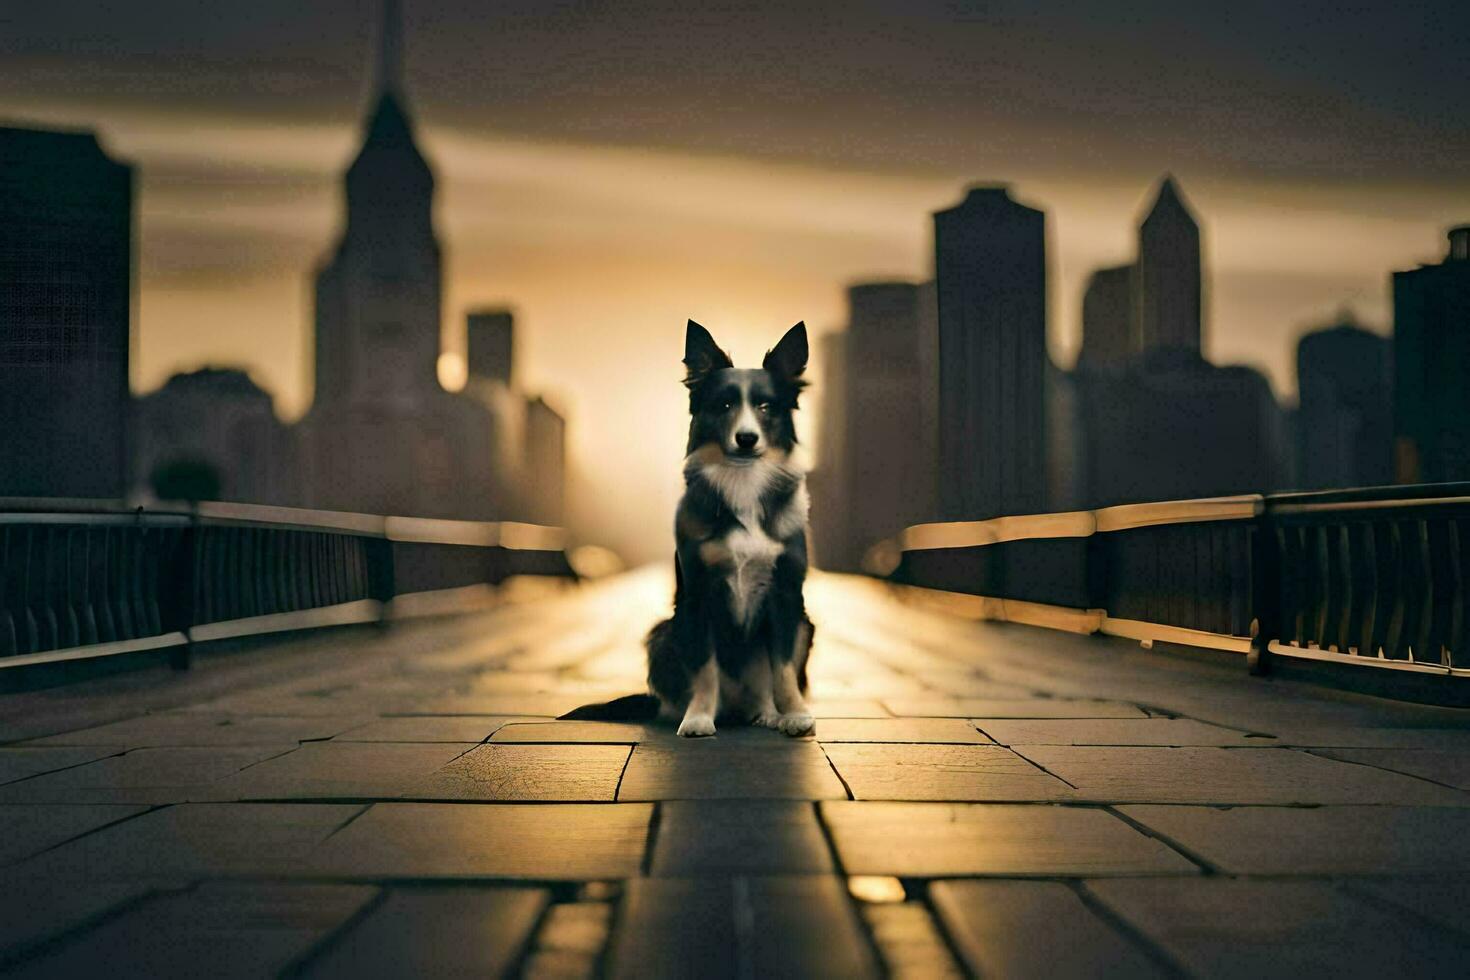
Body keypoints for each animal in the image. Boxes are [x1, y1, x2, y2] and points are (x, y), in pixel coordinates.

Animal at [561, 321, 817, 734]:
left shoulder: (785, 595)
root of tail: (736, 707)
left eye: (765, 407)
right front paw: (697, 717)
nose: (747, 439)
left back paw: (767, 712)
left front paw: (793, 712)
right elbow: (705, 669)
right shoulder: (698, 596)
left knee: (763, 684)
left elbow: (781, 668)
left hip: (806, 626)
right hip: (662, 632)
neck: (743, 483)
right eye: (724, 406)